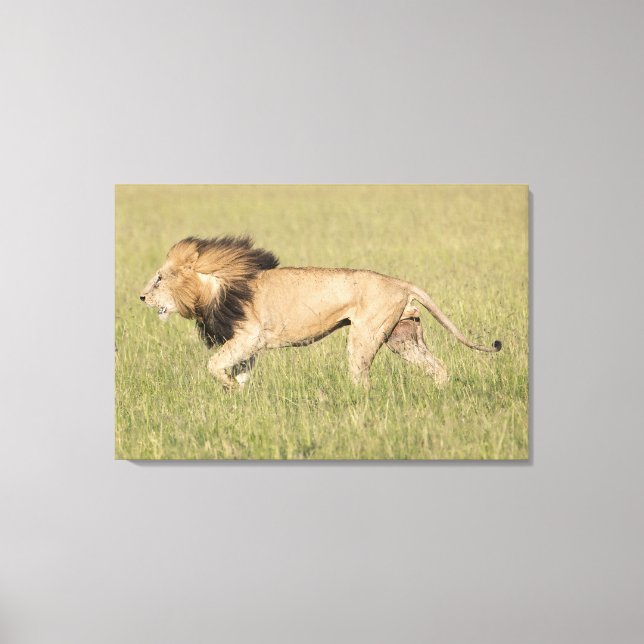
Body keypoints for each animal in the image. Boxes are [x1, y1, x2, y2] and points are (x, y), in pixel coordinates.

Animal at [139, 235, 501, 390]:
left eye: (158, 278)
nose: (141, 297)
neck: (212, 286)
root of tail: (400, 282)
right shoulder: (248, 346)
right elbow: (240, 372)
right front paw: (240, 395)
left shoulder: (250, 336)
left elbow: (213, 365)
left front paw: (229, 387)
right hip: (403, 336)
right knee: (438, 367)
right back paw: (441, 393)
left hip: (365, 336)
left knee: (361, 377)